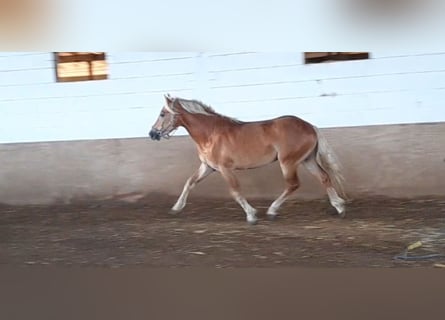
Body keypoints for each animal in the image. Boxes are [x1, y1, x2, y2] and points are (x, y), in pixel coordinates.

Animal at [147, 95, 346, 225]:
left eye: (162, 113)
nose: (152, 133)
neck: (211, 134)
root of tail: (310, 126)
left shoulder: (225, 168)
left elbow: (235, 191)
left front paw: (251, 215)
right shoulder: (207, 167)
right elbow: (189, 182)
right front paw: (176, 208)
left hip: (288, 162)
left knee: (293, 184)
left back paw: (272, 211)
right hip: (307, 160)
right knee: (324, 177)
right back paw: (339, 207)